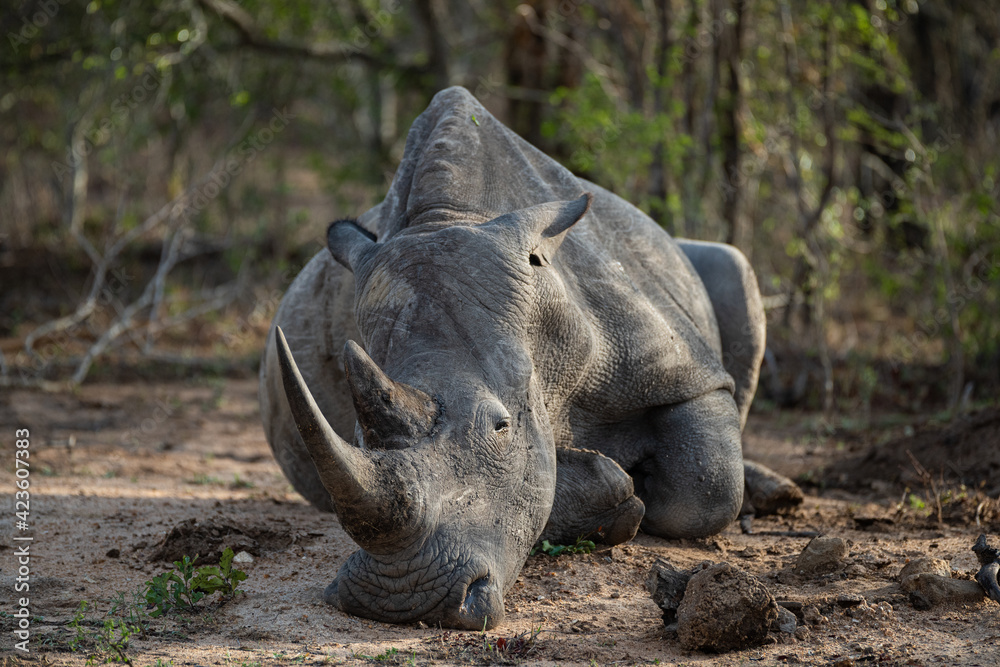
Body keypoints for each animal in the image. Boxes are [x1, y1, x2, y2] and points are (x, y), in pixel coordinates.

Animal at [259, 86, 795, 630]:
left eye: (500, 426)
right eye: (357, 435)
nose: (401, 598)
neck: (452, 215)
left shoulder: (685, 372)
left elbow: (707, 488)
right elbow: (546, 480)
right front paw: (614, 490)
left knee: (733, 269)